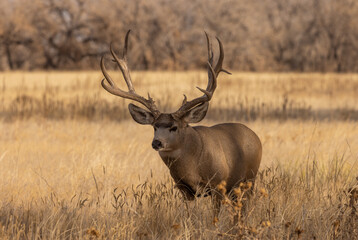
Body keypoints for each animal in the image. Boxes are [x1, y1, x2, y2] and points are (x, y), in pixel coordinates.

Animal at [99, 30, 262, 218]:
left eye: (174, 127)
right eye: (154, 126)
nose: (157, 142)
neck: (193, 166)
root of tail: (254, 135)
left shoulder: (218, 184)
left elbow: (215, 216)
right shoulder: (184, 189)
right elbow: (188, 215)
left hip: (249, 179)